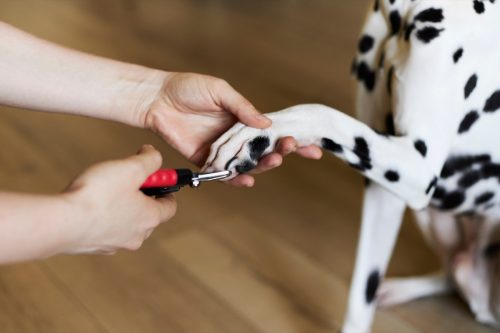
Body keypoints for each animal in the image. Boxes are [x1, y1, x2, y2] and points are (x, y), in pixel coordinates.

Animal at [203, 0, 500, 330]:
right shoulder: (383, 188)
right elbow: (361, 296)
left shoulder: (420, 168)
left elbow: (320, 111)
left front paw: (257, 132)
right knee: (452, 272)